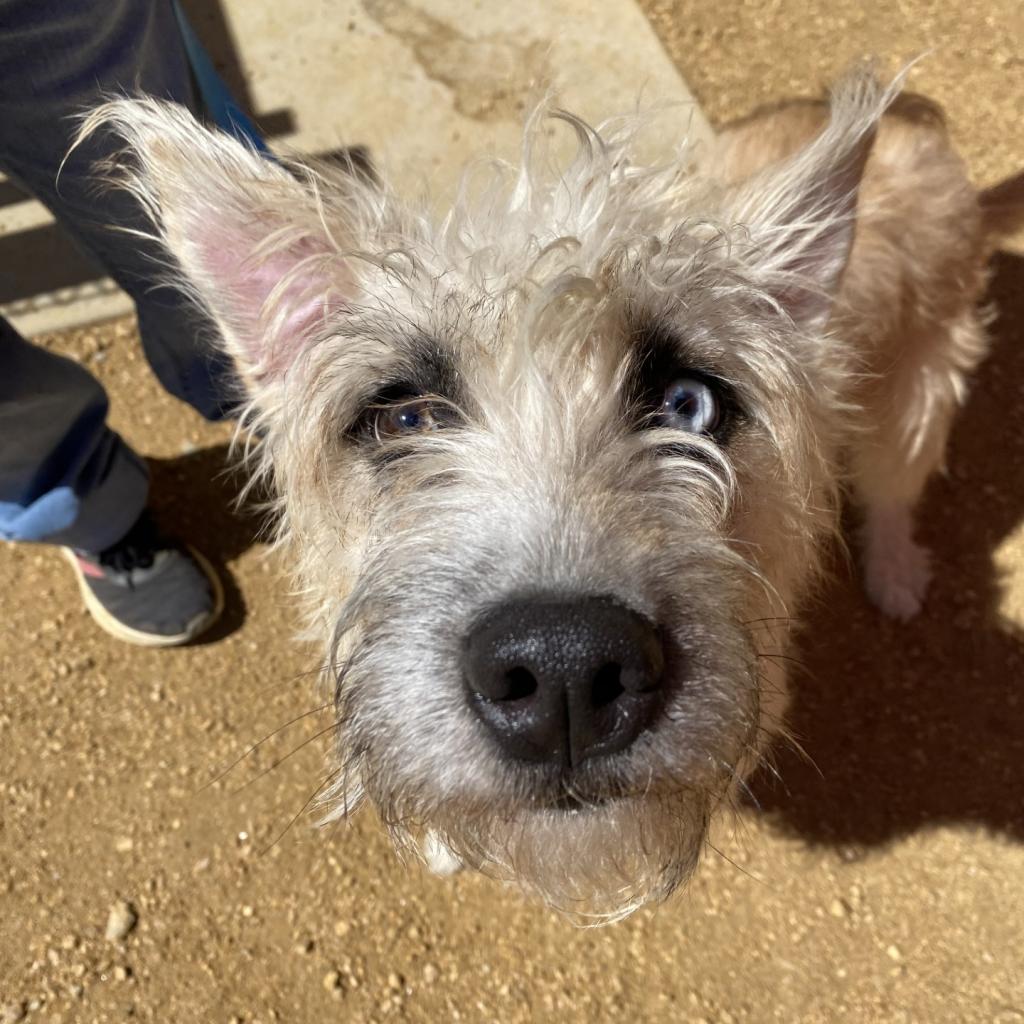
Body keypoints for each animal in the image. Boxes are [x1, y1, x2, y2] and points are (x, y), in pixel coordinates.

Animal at [83, 66, 1019, 921]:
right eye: (403, 416)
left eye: (689, 403)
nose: (566, 668)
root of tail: (911, 120)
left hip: (917, 392)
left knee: (895, 489)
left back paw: (895, 572)